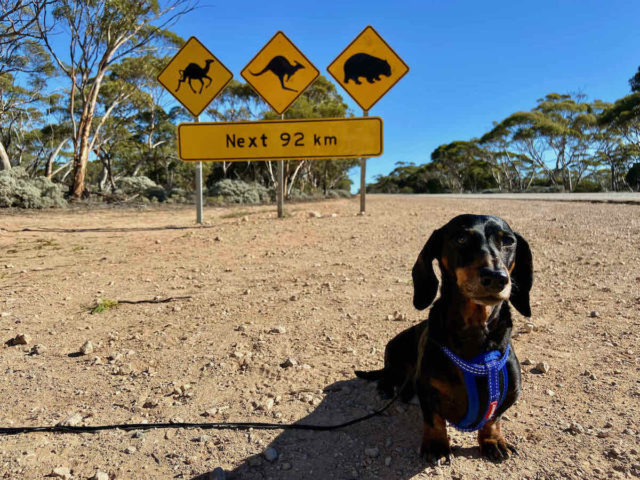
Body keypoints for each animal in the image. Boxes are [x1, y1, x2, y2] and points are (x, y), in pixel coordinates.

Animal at [358, 216, 532, 464]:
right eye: (461, 238)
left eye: (508, 241)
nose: (497, 277)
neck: (475, 334)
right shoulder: (426, 388)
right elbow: (434, 419)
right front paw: (437, 445)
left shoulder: (510, 392)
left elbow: (493, 418)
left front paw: (493, 441)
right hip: (394, 353)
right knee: (389, 373)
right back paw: (386, 386)